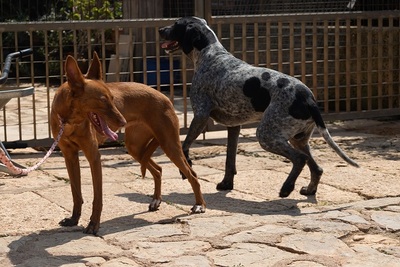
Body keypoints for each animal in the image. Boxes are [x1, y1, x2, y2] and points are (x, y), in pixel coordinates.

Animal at [50, 52, 206, 234]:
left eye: (112, 98)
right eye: (103, 100)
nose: (123, 121)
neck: (69, 122)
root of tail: (165, 97)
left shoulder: (93, 157)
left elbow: (97, 198)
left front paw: (93, 224)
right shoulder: (69, 156)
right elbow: (76, 193)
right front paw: (74, 219)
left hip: (169, 145)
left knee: (192, 174)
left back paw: (199, 205)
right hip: (135, 148)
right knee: (158, 170)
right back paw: (156, 200)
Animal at [159, 16, 360, 197]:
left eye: (176, 24)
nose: (160, 29)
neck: (211, 54)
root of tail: (308, 98)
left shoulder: (200, 115)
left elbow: (184, 146)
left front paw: (185, 168)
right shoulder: (234, 126)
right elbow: (229, 160)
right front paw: (226, 184)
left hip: (266, 135)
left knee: (300, 159)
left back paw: (286, 188)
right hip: (298, 138)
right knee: (316, 168)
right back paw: (309, 190)